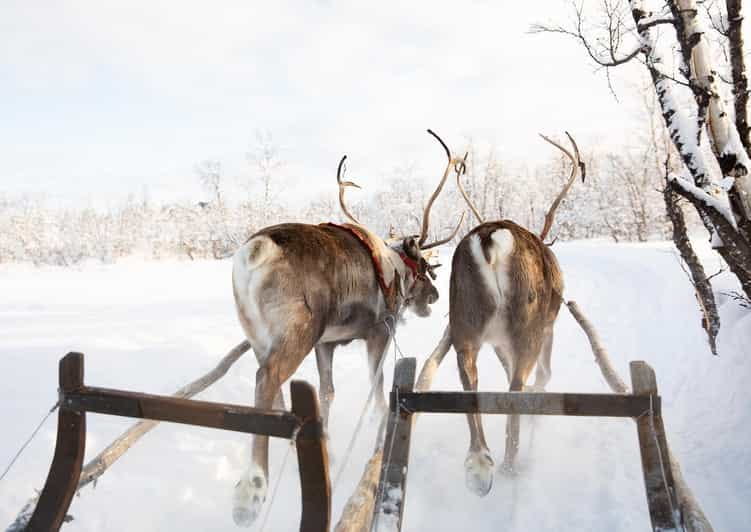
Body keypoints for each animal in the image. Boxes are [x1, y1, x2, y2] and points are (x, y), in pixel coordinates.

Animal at [230, 130, 465, 527]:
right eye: (423, 268)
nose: (434, 296)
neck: (394, 270)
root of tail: (256, 251)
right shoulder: (378, 333)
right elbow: (378, 385)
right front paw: (377, 429)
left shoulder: (328, 344)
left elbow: (327, 391)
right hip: (300, 330)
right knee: (268, 377)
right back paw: (253, 488)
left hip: (258, 333)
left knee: (272, 383)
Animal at [416, 132, 583, 497]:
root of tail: (489, 238)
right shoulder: (548, 328)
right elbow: (543, 375)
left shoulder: (495, 342)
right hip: (528, 324)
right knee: (515, 387)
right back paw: (510, 463)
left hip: (464, 320)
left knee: (470, 380)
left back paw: (480, 465)